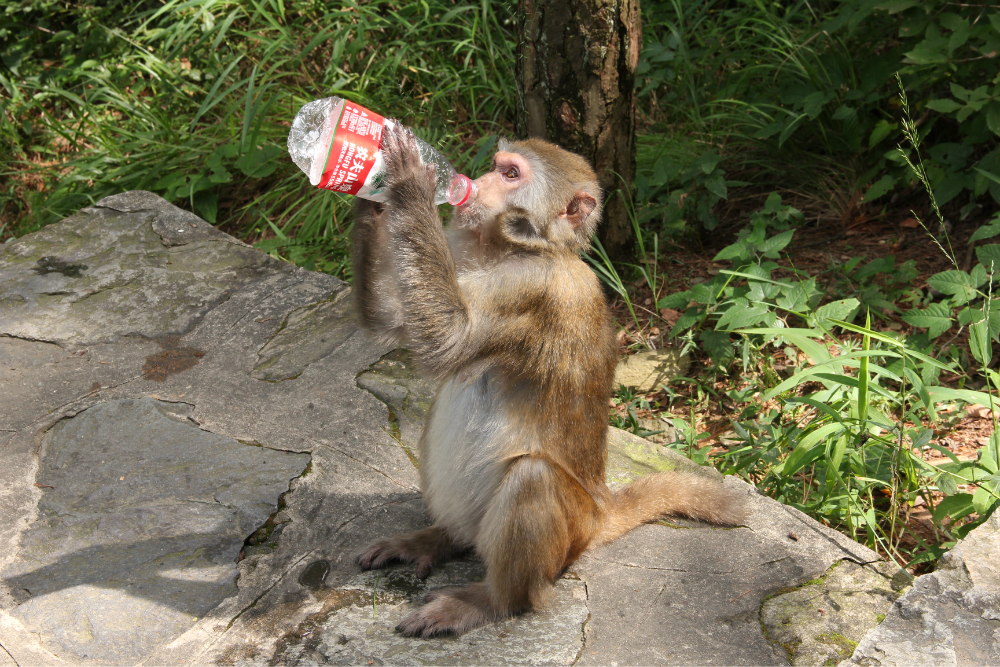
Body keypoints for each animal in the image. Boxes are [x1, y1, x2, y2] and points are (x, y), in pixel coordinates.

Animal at [348, 122, 748, 640]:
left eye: (511, 174)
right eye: (496, 167)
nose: (476, 181)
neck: (517, 249)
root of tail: (600, 510)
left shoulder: (530, 288)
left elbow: (448, 340)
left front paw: (408, 181)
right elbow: (396, 320)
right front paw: (368, 188)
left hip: (568, 536)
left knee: (531, 478)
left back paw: (492, 601)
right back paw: (440, 539)